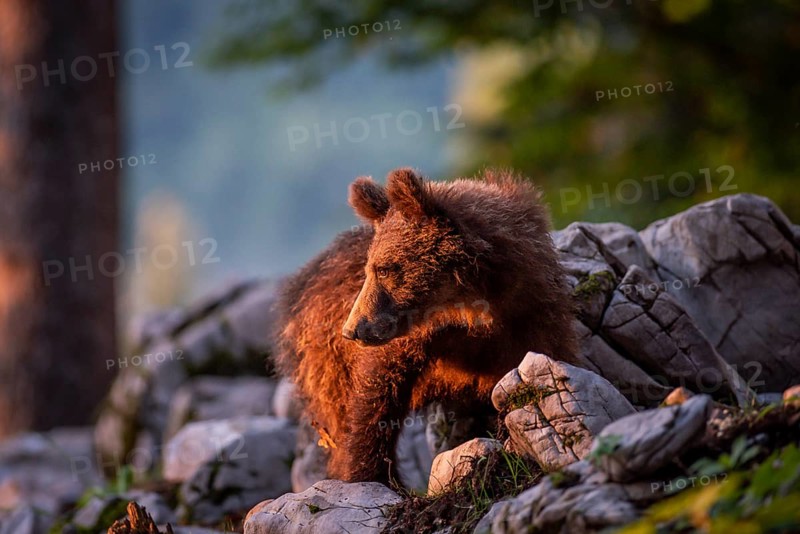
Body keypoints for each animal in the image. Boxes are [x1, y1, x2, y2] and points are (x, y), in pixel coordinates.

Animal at [273, 167, 577, 484]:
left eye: (384, 269)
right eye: (370, 268)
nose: (352, 330)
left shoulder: (531, 315)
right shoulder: (408, 340)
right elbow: (375, 397)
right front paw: (369, 473)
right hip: (323, 361)